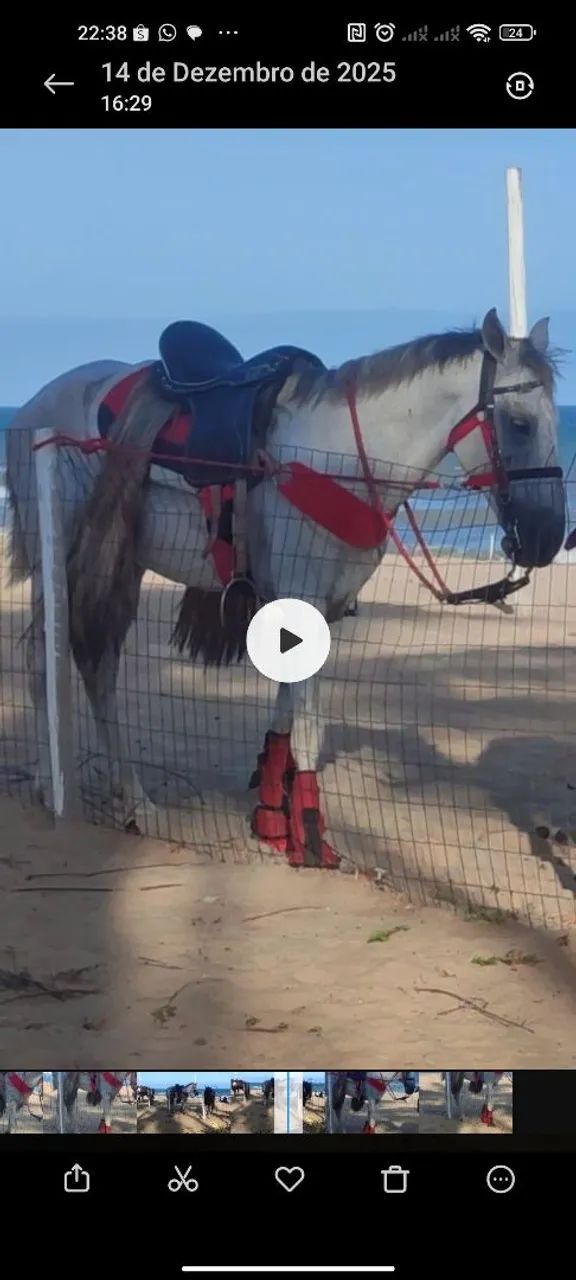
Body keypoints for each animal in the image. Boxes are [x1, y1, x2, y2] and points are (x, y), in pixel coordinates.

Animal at [6, 312, 564, 866]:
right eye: (519, 424)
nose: (549, 537)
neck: (340, 458)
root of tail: (31, 409)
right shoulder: (304, 599)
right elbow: (308, 731)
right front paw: (313, 840)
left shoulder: (313, 610)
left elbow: (285, 720)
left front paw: (274, 822)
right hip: (58, 560)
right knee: (43, 660)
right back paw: (50, 784)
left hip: (123, 564)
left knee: (99, 669)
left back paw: (135, 802)